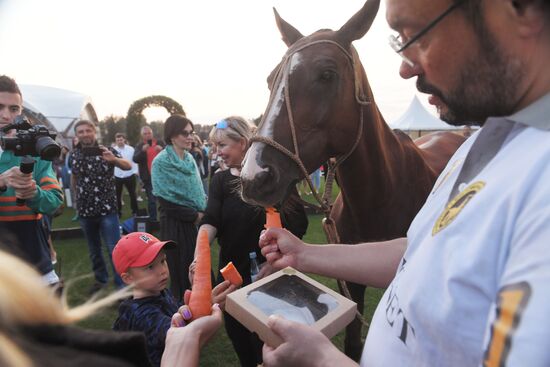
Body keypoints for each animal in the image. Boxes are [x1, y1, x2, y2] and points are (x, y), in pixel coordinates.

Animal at [242, 0, 466, 362]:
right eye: (269, 79)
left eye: (327, 74)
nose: (253, 175)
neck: (381, 196)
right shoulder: (353, 282)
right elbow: (352, 343)